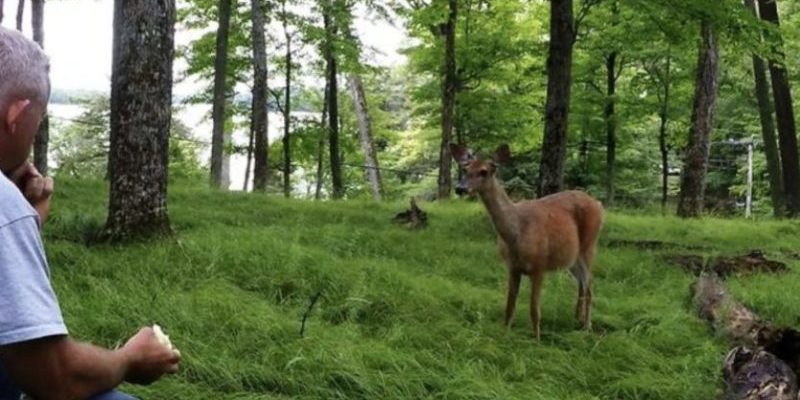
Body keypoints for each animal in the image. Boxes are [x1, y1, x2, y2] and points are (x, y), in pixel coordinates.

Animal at [454, 143, 604, 338]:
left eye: (484, 171)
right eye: (465, 169)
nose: (459, 188)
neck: (516, 234)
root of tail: (599, 205)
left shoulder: (540, 266)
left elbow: (534, 310)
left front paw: (537, 339)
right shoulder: (512, 267)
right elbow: (509, 306)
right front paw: (505, 333)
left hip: (589, 246)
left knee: (589, 284)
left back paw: (587, 327)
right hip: (572, 258)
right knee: (582, 283)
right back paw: (577, 318)